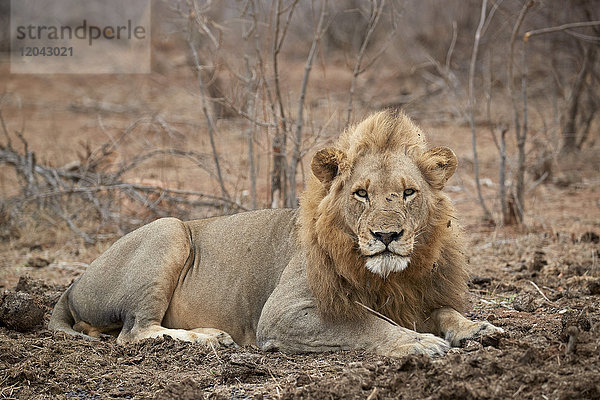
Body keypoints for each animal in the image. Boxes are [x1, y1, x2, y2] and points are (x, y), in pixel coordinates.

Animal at [50, 109, 502, 356]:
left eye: (408, 193)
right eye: (361, 193)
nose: (386, 236)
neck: (389, 277)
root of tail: (70, 287)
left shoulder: (416, 298)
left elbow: (445, 312)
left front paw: (477, 328)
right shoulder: (283, 313)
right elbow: (364, 324)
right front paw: (419, 343)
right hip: (170, 230)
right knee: (135, 332)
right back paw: (210, 338)